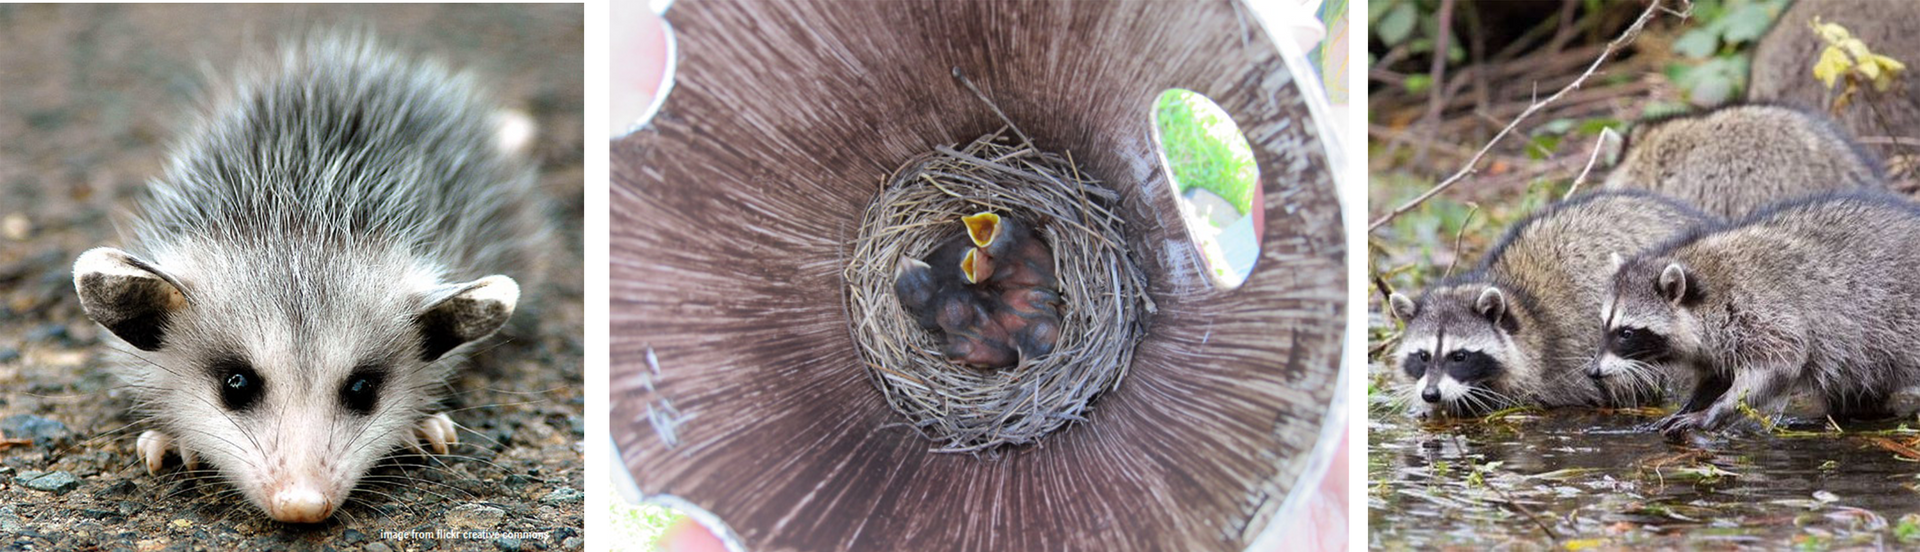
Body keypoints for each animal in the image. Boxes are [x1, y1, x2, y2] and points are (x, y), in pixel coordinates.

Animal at [1599, 191, 1920, 435]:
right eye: (1604, 326)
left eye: (1626, 333)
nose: (1593, 371)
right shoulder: (1719, 342)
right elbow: (1718, 376)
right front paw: (1694, 404)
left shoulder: (1761, 310)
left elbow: (1781, 361)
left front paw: (1715, 411)